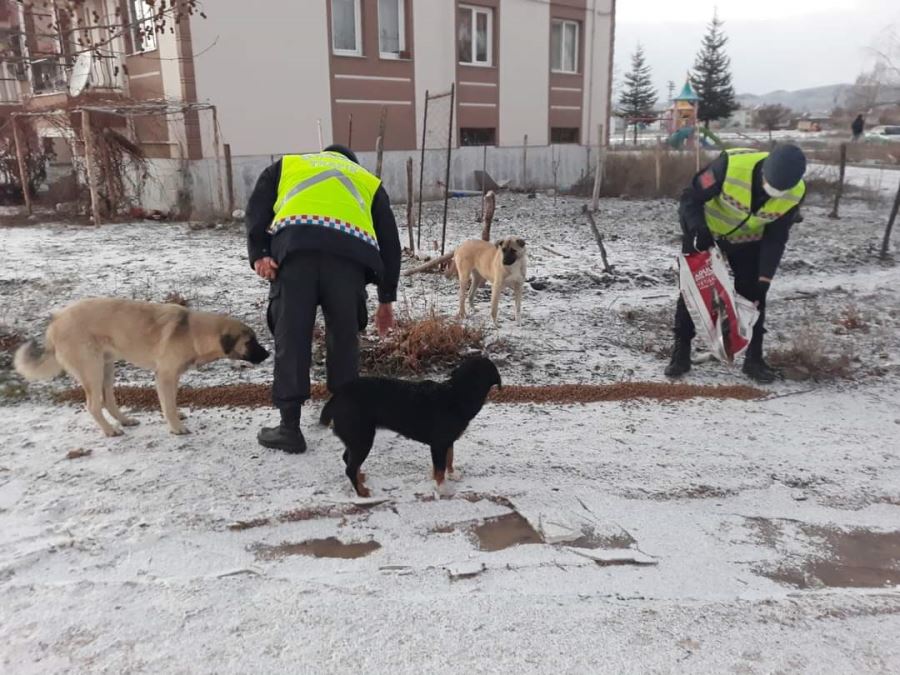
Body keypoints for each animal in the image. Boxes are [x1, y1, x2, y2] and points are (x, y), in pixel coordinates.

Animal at [14, 298, 268, 436]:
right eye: (251, 342)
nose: (267, 354)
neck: (192, 332)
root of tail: (55, 322)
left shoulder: (173, 376)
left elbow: (171, 399)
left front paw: (176, 415)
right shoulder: (164, 375)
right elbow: (168, 402)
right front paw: (176, 427)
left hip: (106, 367)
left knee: (108, 399)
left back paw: (124, 420)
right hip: (92, 369)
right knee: (93, 405)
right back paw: (111, 430)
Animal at [318, 360, 502, 496]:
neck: (457, 394)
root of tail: (337, 396)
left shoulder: (447, 441)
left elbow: (449, 458)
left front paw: (452, 474)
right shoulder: (439, 444)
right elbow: (440, 468)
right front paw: (442, 488)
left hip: (356, 437)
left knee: (347, 459)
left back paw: (361, 477)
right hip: (362, 438)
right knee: (349, 468)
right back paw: (363, 493)